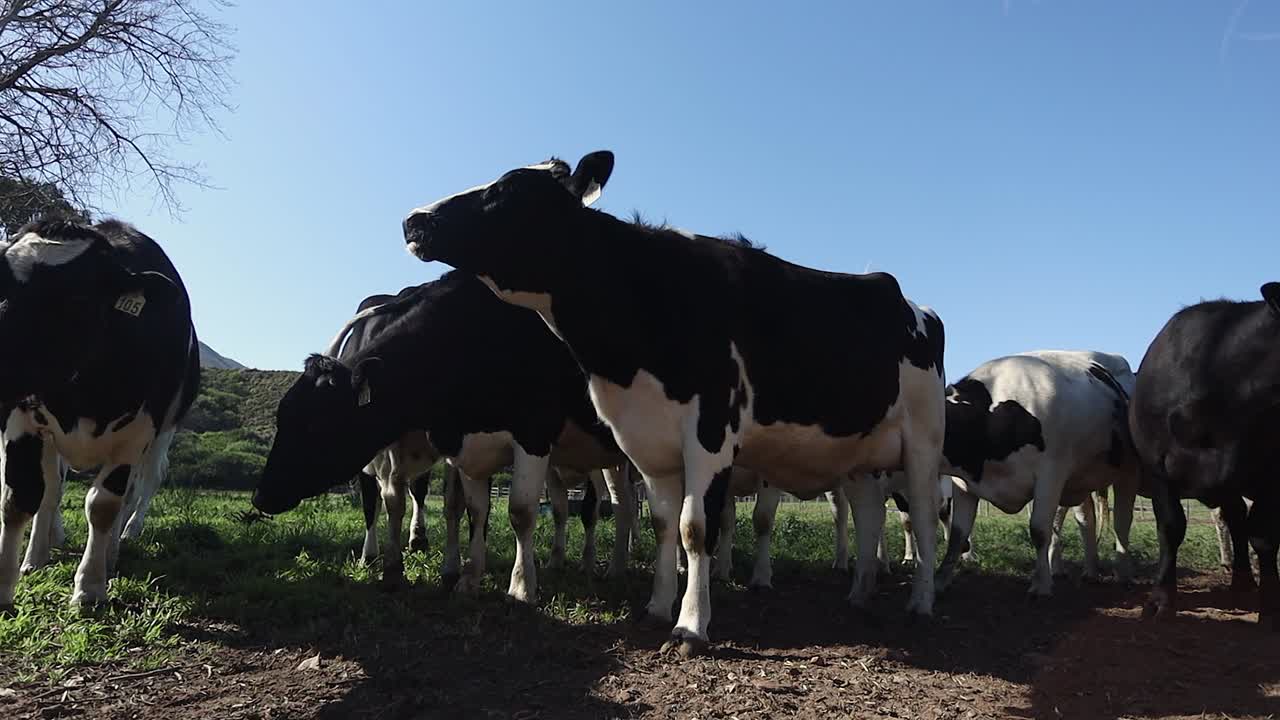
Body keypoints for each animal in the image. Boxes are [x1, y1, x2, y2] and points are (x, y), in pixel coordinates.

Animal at [0, 219, 199, 610]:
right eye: (2, 284)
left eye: (77, 299)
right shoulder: (22, 419)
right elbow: (21, 498)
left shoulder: (137, 433)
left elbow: (104, 506)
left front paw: (90, 586)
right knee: (52, 491)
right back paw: (36, 556)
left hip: (163, 434)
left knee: (142, 484)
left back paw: (119, 544)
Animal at [251, 272, 633, 601]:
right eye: (282, 417)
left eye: (314, 424)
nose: (260, 496)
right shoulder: (458, 444)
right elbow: (468, 509)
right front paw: (462, 577)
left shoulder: (533, 432)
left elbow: (519, 510)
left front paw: (521, 587)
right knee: (600, 505)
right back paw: (586, 563)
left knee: (615, 506)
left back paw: (611, 566)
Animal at [403, 150, 947, 657]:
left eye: (510, 189)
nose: (414, 220)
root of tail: (907, 300)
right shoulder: (649, 443)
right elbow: (665, 524)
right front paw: (656, 607)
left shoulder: (710, 432)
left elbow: (695, 527)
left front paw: (691, 627)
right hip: (859, 454)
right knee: (870, 514)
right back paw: (860, 593)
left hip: (923, 442)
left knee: (922, 517)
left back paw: (921, 602)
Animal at [930, 350, 1140, 597]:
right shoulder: (965, 485)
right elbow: (957, 535)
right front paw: (940, 580)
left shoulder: (1050, 475)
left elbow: (1039, 530)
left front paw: (1041, 584)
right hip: (1080, 481)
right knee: (1086, 520)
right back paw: (1090, 571)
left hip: (1127, 473)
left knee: (1122, 522)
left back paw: (1123, 574)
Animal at [1128, 283, 1280, 626]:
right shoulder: (1158, 467)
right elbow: (1170, 527)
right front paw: (1160, 601)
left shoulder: (1270, 472)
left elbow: (1263, 536)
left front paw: (1271, 608)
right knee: (1234, 517)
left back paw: (1243, 582)